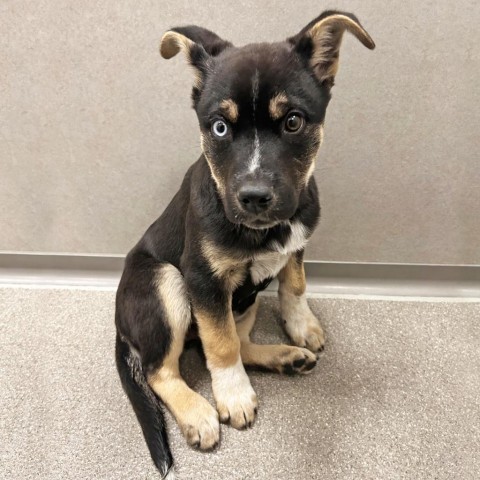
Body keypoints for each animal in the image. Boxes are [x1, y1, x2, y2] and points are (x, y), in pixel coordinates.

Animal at [115, 10, 376, 476]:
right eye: (219, 128)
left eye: (293, 121)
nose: (254, 197)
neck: (265, 230)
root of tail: (118, 322)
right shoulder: (203, 279)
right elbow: (220, 345)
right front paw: (233, 395)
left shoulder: (297, 244)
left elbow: (294, 284)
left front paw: (301, 325)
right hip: (165, 282)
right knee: (161, 369)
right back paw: (199, 411)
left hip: (245, 301)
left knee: (237, 341)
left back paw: (284, 356)